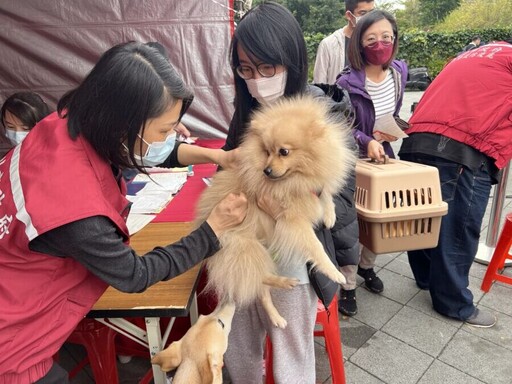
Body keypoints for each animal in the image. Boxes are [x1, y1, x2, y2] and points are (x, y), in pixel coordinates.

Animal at [194, 94, 354, 328]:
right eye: (267, 152)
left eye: (283, 152)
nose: (266, 170)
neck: (298, 177)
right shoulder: (294, 221)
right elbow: (316, 248)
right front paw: (334, 273)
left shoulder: (312, 188)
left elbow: (325, 195)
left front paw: (329, 216)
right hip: (246, 248)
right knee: (256, 278)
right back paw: (282, 289)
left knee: (261, 289)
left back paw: (279, 304)